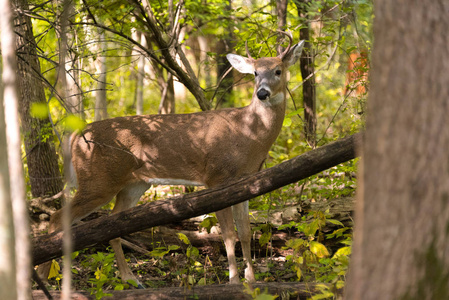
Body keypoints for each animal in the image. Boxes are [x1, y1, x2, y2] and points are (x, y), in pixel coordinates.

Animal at [39, 32, 304, 286]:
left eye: (278, 70)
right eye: (256, 73)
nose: (262, 93)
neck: (248, 134)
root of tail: (76, 136)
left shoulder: (246, 182)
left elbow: (247, 233)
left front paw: (251, 280)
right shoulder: (217, 177)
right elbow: (229, 235)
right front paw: (234, 280)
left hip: (134, 184)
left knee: (111, 224)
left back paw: (130, 278)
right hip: (97, 180)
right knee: (57, 217)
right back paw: (44, 276)